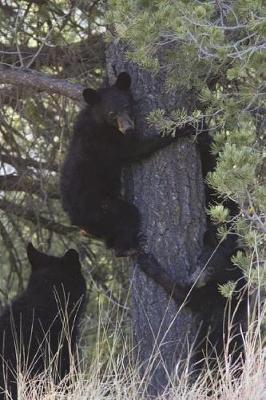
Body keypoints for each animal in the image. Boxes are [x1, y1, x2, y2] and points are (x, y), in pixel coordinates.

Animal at [60, 72, 177, 256]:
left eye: (126, 106)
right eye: (111, 114)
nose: (128, 129)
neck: (99, 122)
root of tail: (78, 222)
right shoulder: (107, 143)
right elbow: (136, 150)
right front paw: (184, 128)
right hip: (103, 209)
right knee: (128, 216)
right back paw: (129, 248)